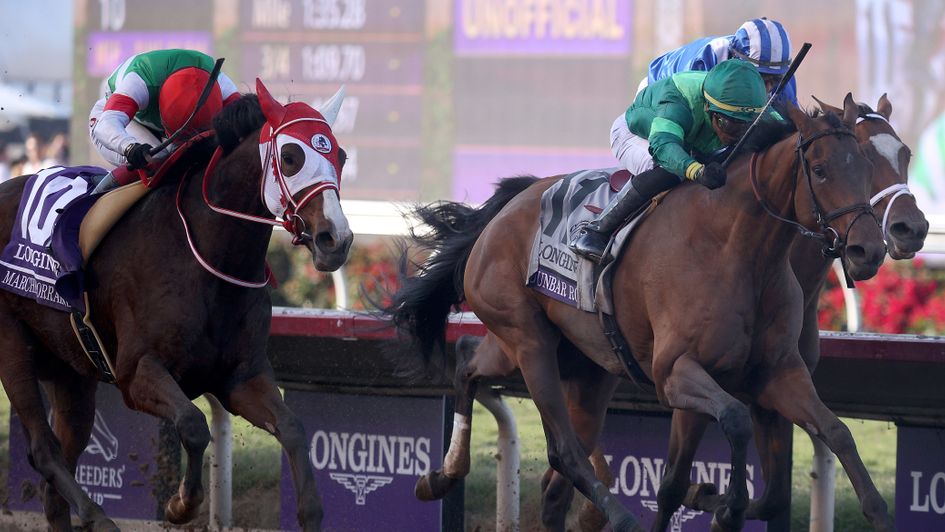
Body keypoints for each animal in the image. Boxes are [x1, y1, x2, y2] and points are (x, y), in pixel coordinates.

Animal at [0, 80, 350, 532]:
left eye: (340, 156)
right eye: (291, 157)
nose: (336, 240)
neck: (210, 257)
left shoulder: (240, 377)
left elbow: (291, 426)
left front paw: (310, 511)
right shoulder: (136, 372)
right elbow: (194, 424)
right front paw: (180, 505)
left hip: (69, 371)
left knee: (59, 467)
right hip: (14, 348)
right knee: (44, 450)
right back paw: (99, 517)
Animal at [386, 96, 892, 532]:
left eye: (867, 167)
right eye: (821, 170)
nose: (868, 250)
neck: (740, 251)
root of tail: (510, 204)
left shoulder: (777, 373)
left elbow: (836, 432)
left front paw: (876, 509)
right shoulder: (676, 372)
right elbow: (725, 428)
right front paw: (723, 504)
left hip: (577, 365)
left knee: (473, 364)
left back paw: (441, 476)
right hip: (528, 341)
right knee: (565, 451)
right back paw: (618, 515)